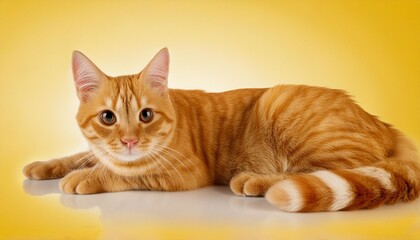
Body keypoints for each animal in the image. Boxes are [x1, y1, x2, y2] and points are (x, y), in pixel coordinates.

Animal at [23, 48, 420, 212]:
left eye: (146, 115)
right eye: (108, 118)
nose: (130, 140)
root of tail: (383, 123)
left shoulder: (183, 171)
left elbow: (124, 172)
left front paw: (88, 177)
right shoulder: (100, 149)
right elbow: (80, 155)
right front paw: (46, 166)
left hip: (279, 103)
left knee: (332, 169)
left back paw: (256, 180)